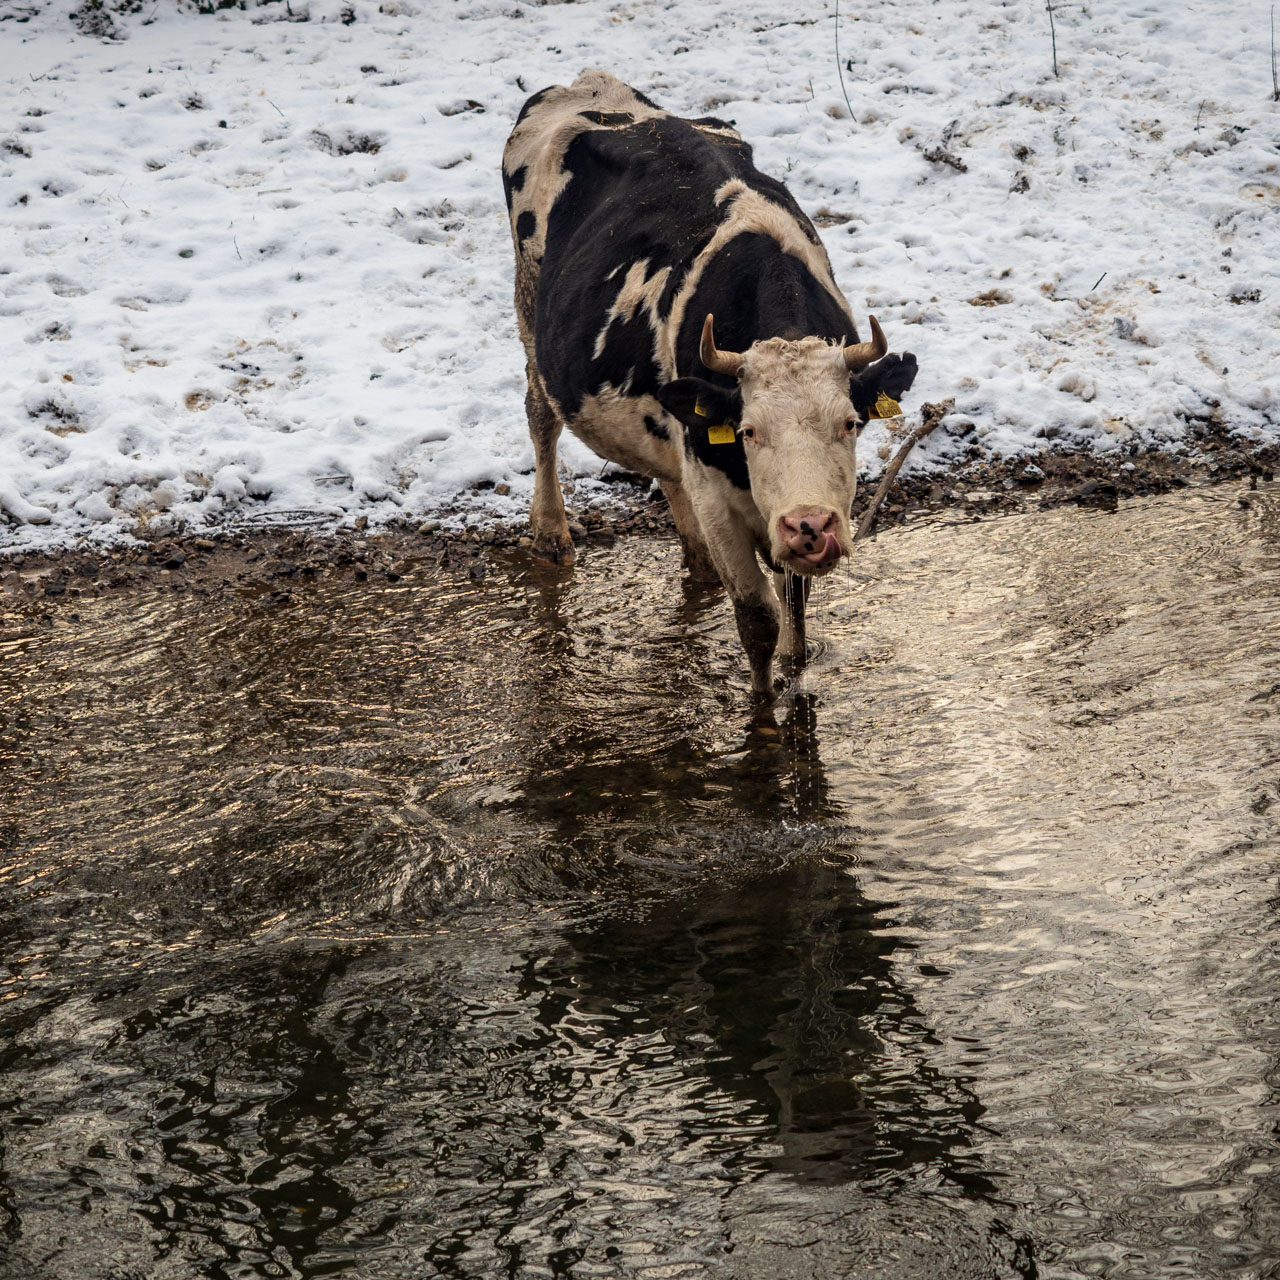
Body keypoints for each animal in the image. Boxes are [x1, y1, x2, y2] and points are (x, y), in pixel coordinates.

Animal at [501, 72, 921, 691]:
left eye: (851, 423)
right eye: (747, 431)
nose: (810, 526)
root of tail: (587, 84)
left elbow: (795, 616)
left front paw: (795, 679)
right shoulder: (722, 505)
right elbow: (758, 620)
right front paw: (762, 703)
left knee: (669, 473)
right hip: (530, 311)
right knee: (540, 417)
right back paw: (552, 533)